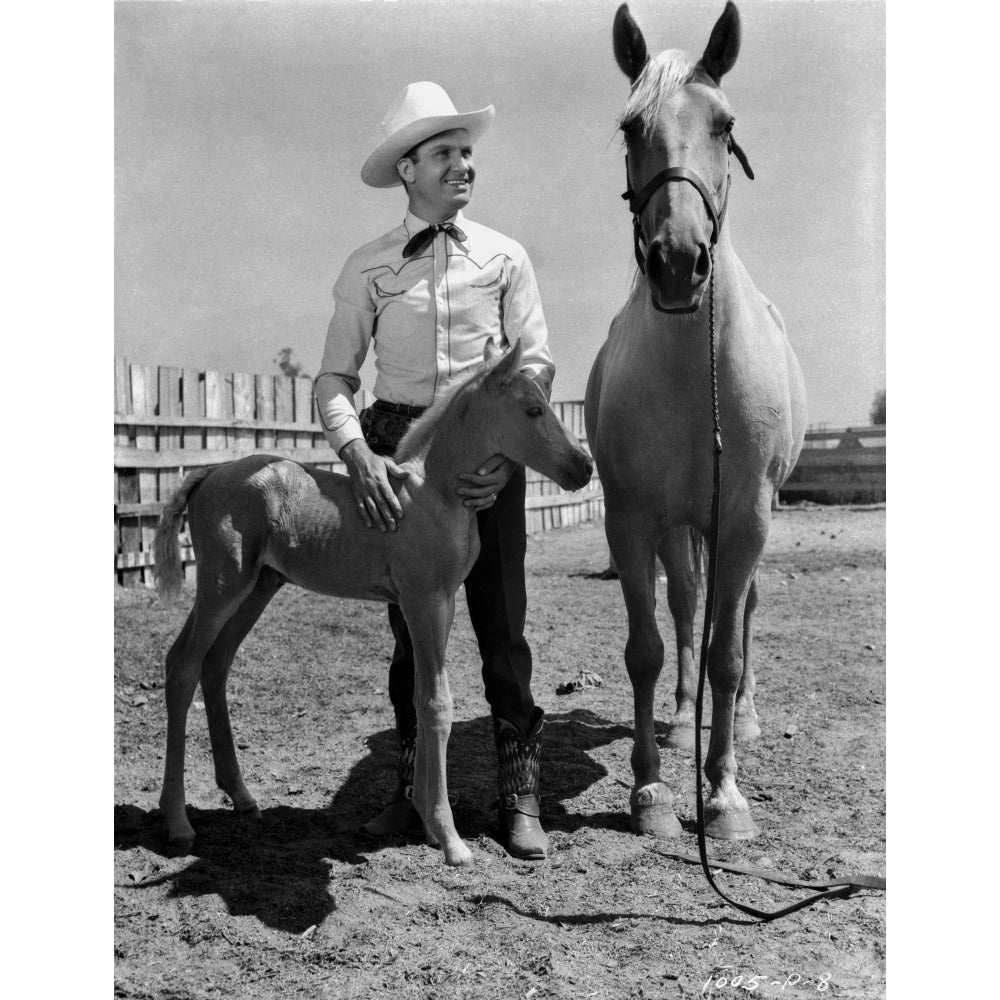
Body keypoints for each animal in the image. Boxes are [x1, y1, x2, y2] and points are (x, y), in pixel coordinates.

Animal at [152, 340, 588, 864]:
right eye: (532, 410)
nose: (583, 466)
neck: (434, 493)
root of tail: (211, 471)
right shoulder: (423, 602)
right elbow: (437, 702)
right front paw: (451, 839)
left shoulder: (442, 604)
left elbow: (421, 698)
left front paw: (426, 821)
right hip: (222, 584)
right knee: (182, 663)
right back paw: (177, 823)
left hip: (258, 587)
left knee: (215, 665)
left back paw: (241, 795)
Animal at [584, 3, 804, 840]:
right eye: (630, 126)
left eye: (724, 124)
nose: (678, 262)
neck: (690, 374)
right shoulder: (634, 517)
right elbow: (649, 647)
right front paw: (651, 789)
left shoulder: (745, 516)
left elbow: (728, 654)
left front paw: (724, 795)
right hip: (681, 526)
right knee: (685, 609)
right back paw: (684, 723)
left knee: (737, 617)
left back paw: (742, 721)